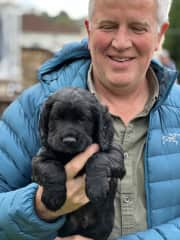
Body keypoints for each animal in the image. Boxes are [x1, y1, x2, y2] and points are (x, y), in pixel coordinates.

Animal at [32, 87, 125, 239]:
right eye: (57, 118)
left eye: (83, 119)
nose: (69, 140)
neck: (71, 154)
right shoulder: (40, 158)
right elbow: (51, 169)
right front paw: (54, 197)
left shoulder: (115, 152)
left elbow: (98, 159)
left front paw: (96, 189)